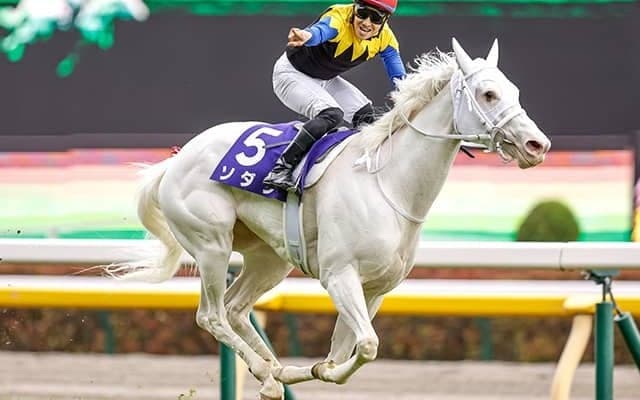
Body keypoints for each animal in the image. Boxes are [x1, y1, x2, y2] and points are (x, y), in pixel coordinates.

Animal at [106, 38, 551, 399]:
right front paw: (310, 369)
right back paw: (265, 370)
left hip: (270, 258)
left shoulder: (375, 289)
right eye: (488, 94)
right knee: (211, 315)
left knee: (235, 309)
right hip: (212, 246)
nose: (537, 144)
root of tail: (177, 159)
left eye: (513, 91)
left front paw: (304, 370)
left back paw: (271, 372)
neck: (388, 184)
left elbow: (344, 351)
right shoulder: (339, 275)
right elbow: (367, 346)